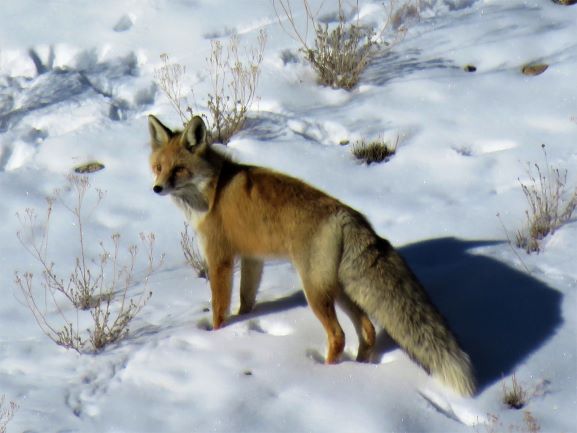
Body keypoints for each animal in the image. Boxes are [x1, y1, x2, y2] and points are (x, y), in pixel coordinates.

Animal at [148, 114, 476, 394]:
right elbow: (246, 301)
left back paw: (327, 374)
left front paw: (217, 336)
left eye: (179, 169)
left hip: (315, 292)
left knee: (339, 335)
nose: (156, 188)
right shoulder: (253, 258)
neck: (213, 191)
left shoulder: (220, 259)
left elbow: (219, 308)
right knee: (368, 329)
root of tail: (346, 215)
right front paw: (244, 324)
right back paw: (360, 367)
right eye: (159, 167)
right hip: (339, 289)